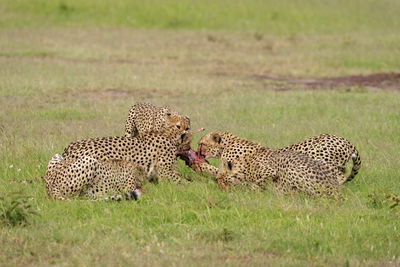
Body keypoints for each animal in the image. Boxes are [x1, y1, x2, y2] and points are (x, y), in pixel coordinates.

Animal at [61, 126, 193, 185]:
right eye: (189, 140)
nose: (189, 148)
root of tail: (68, 148)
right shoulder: (164, 172)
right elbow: (180, 180)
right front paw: (193, 186)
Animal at [195, 132, 360, 184]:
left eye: (201, 144)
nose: (197, 153)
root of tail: (346, 140)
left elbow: (216, 171)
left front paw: (200, 166)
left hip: (318, 157)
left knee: (338, 176)